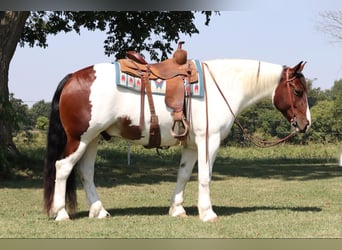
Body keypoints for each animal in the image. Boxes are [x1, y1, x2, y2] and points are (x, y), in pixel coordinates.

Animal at [42, 58, 310, 221]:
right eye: (298, 91)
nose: (306, 124)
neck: (221, 86)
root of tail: (73, 77)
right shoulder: (208, 141)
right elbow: (205, 177)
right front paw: (207, 213)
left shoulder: (191, 145)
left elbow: (183, 174)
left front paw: (177, 209)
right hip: (79, 139)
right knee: (62, 168)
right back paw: (61, 213)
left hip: (93, 139)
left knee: (85, 173)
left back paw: (99, 211)